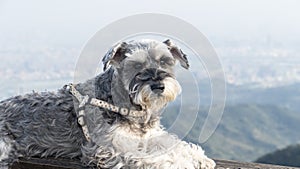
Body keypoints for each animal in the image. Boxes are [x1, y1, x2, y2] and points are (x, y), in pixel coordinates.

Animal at [0, 39, 216, 168]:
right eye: (136, 65)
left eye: (164, 61)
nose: (158, 86)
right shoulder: (112, 148)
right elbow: (151, 158)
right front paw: (179, 162)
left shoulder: (149, 136)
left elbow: (172, 143)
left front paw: (198, 157)